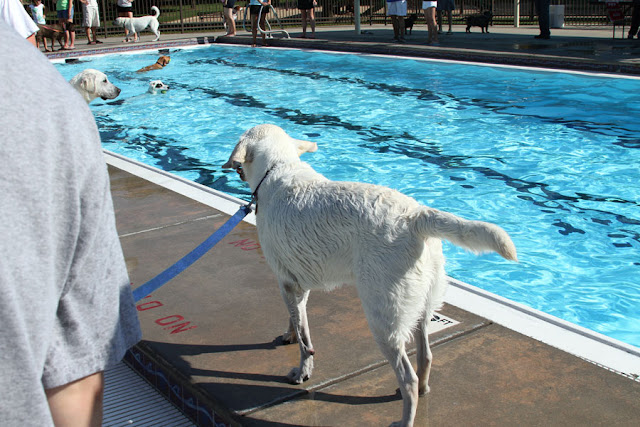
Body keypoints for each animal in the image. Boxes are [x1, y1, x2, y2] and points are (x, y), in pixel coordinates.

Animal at [223, 124, 517, 427]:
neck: (279, 167)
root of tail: (416, 217)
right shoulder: (297, 285)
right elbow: (296, 320)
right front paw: (289, 335)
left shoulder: (286, 283)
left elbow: (306, 340)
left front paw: (303, 371)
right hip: (423, 305)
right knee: (426, 356)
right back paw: (424, 388)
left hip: (384, 318)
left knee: (408, 377)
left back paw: (405, 418)